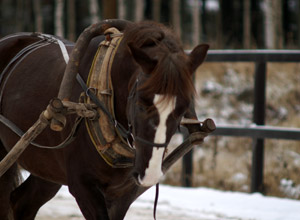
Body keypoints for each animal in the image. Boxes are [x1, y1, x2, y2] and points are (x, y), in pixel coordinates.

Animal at [0, 19, 209, 219]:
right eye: (141, 102)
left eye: (183, 108)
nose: (150, 173)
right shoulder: (83, 186)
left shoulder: (122, 192)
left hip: (46, 166)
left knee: (22, 203)